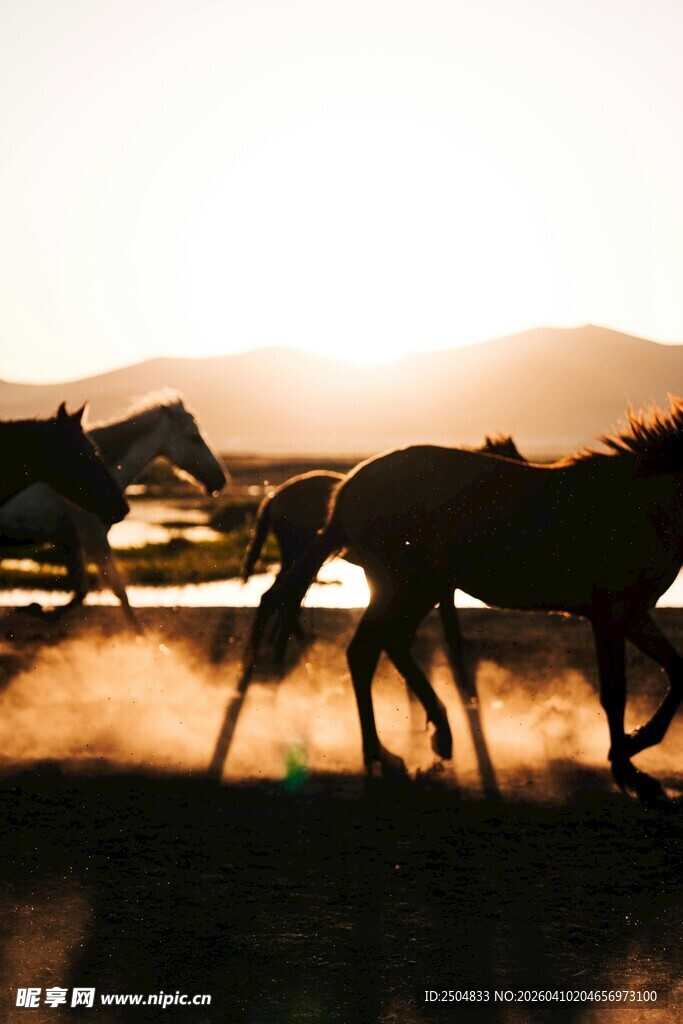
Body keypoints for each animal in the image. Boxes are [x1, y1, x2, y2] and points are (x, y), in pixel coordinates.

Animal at [0, 391, 226, 630]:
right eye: (194, 437)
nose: (220, 480)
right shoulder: (95, 540)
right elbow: (119, 593)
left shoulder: (70, 543)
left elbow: (82, 592)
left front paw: (39, 610)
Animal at [232, 399, 683, 803]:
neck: (636, 503)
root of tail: (347, 489)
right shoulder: (615, 613)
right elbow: (620, 691)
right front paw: (630, 763)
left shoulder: (623, 614)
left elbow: (664, 674)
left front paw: (632, 760)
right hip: (406, 586)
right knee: (363, 648)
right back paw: (388, 752)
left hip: (415, 589)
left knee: (381, 644)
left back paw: (430, 737)